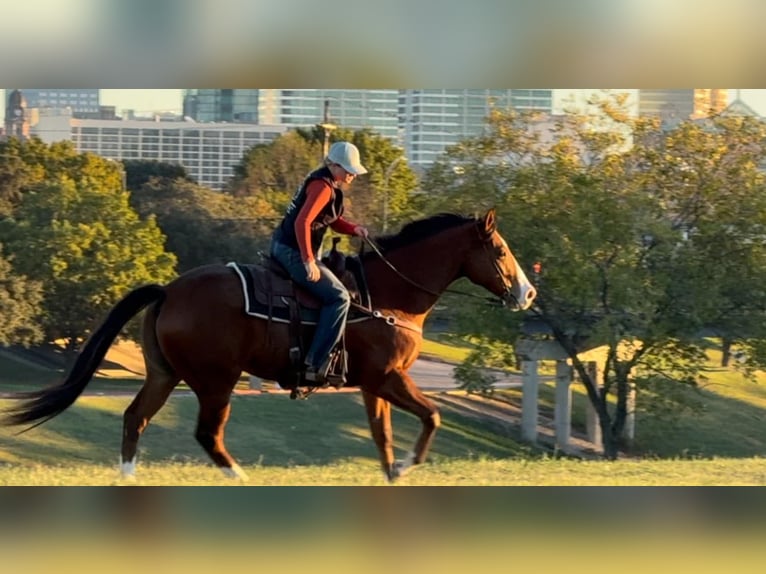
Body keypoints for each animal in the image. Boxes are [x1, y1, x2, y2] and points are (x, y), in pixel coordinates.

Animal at [1, 209, 537, 482]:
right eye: (500, 250)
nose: (527, 294)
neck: (384, 296)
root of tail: (169, 290)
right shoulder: (388, 378)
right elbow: (432, 416)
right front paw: (410, 463)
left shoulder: (373, 385)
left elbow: (384, 437)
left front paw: (394, 472)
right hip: (217, 382)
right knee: (208, 435)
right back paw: (240, 479)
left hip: (164, 374)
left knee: (136, 419)